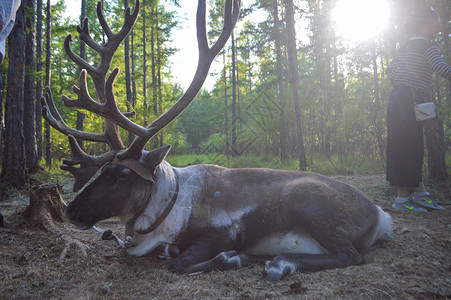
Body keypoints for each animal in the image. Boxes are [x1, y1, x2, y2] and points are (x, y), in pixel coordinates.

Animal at [43, 0, 396, 282]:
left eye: (124, 175)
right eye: (103, 171)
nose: (71, 210)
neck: (168, 205)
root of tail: (382, 216)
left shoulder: (226, 231)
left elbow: (182, 262)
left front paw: (227, 257)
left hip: (306, 198)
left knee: (351, 255)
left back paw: (278, 263)